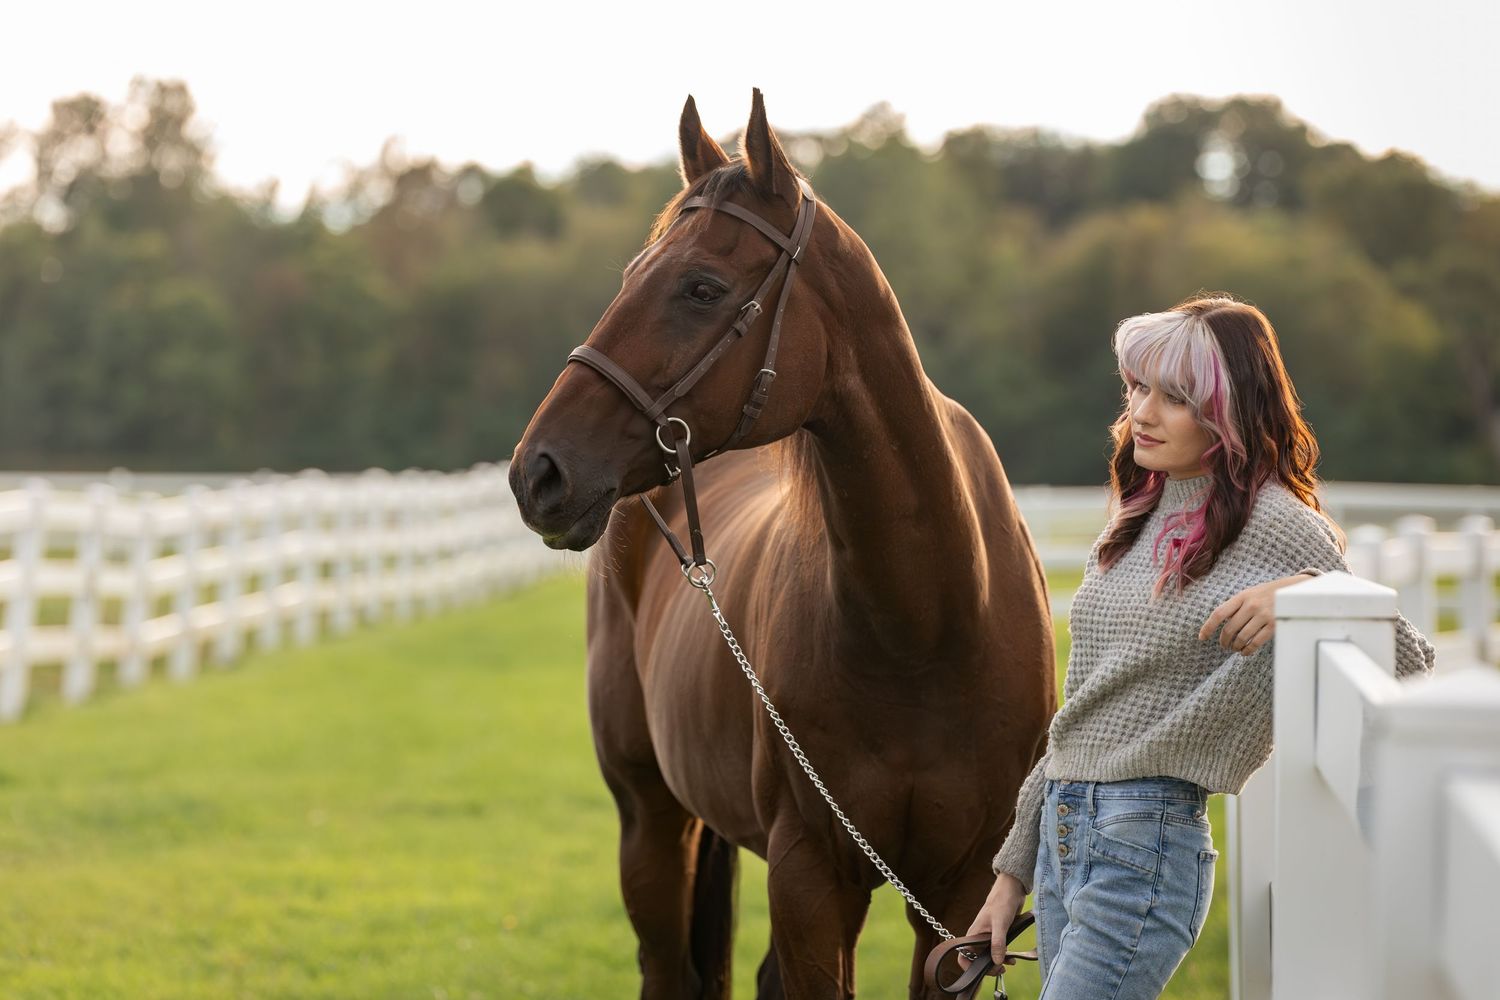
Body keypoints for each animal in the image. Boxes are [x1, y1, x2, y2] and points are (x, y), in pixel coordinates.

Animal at [509, 89, 1056, 999]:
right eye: (630, 277)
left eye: (701, 287)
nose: (538, 472)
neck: (927, 623)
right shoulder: (810, 872)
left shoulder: (958, 899)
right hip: (650, 823)